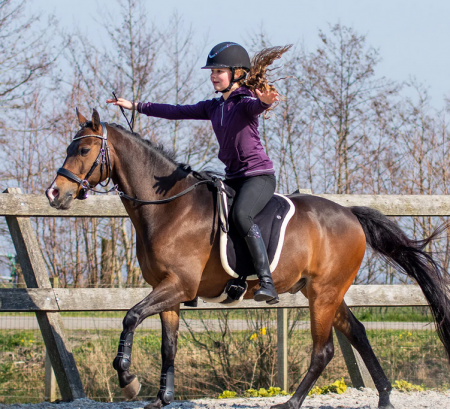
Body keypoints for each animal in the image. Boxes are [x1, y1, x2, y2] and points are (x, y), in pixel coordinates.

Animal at [46, 109, 450, 408]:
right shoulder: (168, 291)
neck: (169, 208)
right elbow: (168, 345)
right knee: (360, 334)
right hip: (323, 292)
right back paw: (384, 397)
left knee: (324, 350)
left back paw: (291, 403)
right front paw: (161, 397)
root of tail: (350, 214)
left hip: (324, 294)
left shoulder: (178, 286)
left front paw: (128, 378)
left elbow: (130, 316)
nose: (54, 193)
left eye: (84, 151)